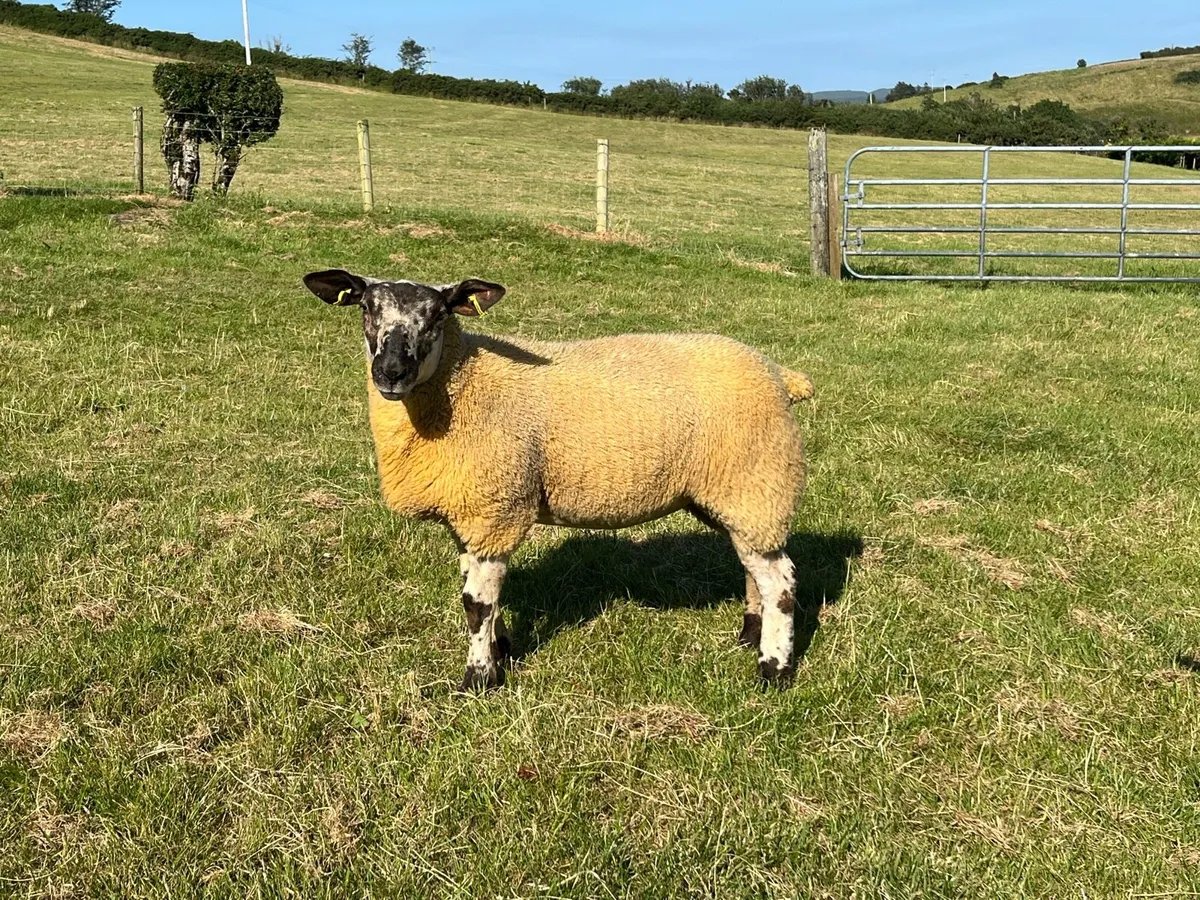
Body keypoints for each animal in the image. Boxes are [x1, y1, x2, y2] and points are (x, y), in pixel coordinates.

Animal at [302, 269, 815, 691]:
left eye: (437, 315)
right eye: (367, 308)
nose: (391, 372)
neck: (461, 382)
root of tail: (779, 375)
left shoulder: (496, 507)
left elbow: (476, 604)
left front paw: (479, 680)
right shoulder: (469, 513)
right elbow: (482, 591)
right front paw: (501, 650)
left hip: (755, 479)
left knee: (782, 581)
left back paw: (773, 669)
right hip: (736, 495)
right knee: (753, 566)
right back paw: (750, 634)